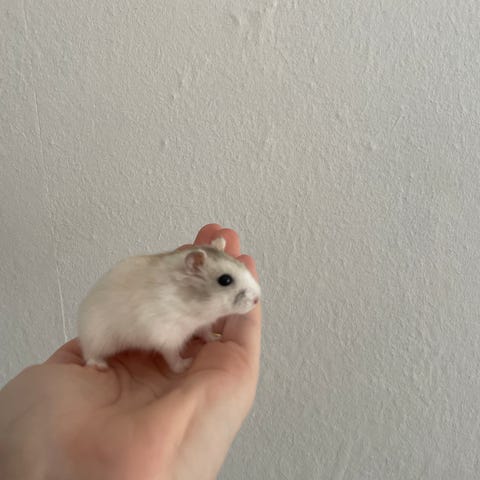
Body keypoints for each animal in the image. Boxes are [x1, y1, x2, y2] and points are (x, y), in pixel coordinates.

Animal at [77, 237, 261, 373]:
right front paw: (186, 365)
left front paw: (217, 338)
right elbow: (173, 357)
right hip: (98, 338)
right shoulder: (167, 336)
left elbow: (206, 333)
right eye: (225, 280)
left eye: (242, 265)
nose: (258, 299)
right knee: (89, 355)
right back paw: (101, 366)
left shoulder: (202, 324)